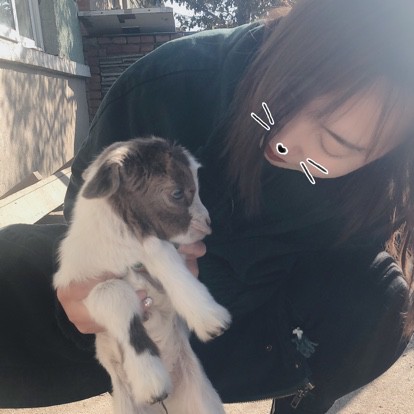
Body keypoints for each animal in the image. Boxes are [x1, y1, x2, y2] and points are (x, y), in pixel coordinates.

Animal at [54, 136, 231, 414]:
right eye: (177, 192)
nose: (208, 224)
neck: (126, 245)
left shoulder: (158, 251)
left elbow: (165, 256)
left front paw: (209, 319)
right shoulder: (84, 287)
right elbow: (114, 293)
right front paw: (151, 381)